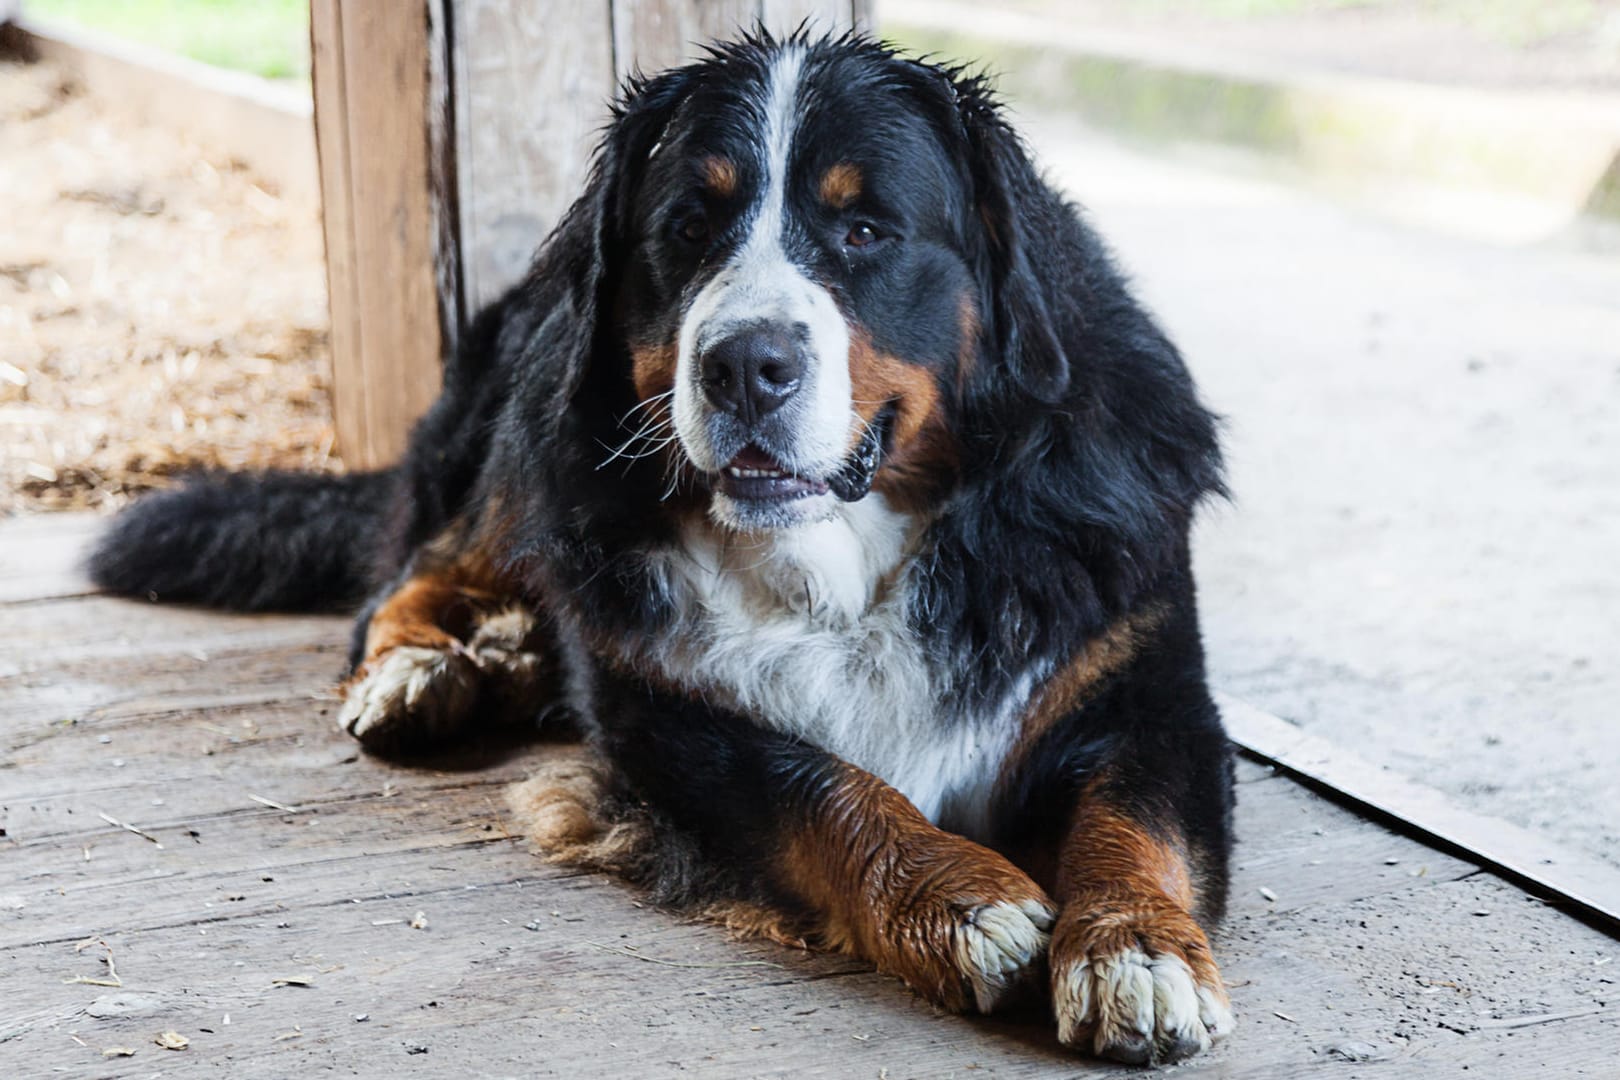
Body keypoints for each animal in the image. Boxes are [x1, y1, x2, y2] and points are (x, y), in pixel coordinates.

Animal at [91, 29, 1224, 1068]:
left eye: (865, 230)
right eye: (687, 229)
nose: (745, 363)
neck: (842, 559)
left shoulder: (1141, 672)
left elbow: (1134, 817)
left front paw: (1135, 952)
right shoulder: (664, 706)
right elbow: (818, 785)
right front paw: (963, 900)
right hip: (534, 451)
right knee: (412, 577)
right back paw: (423, 673)